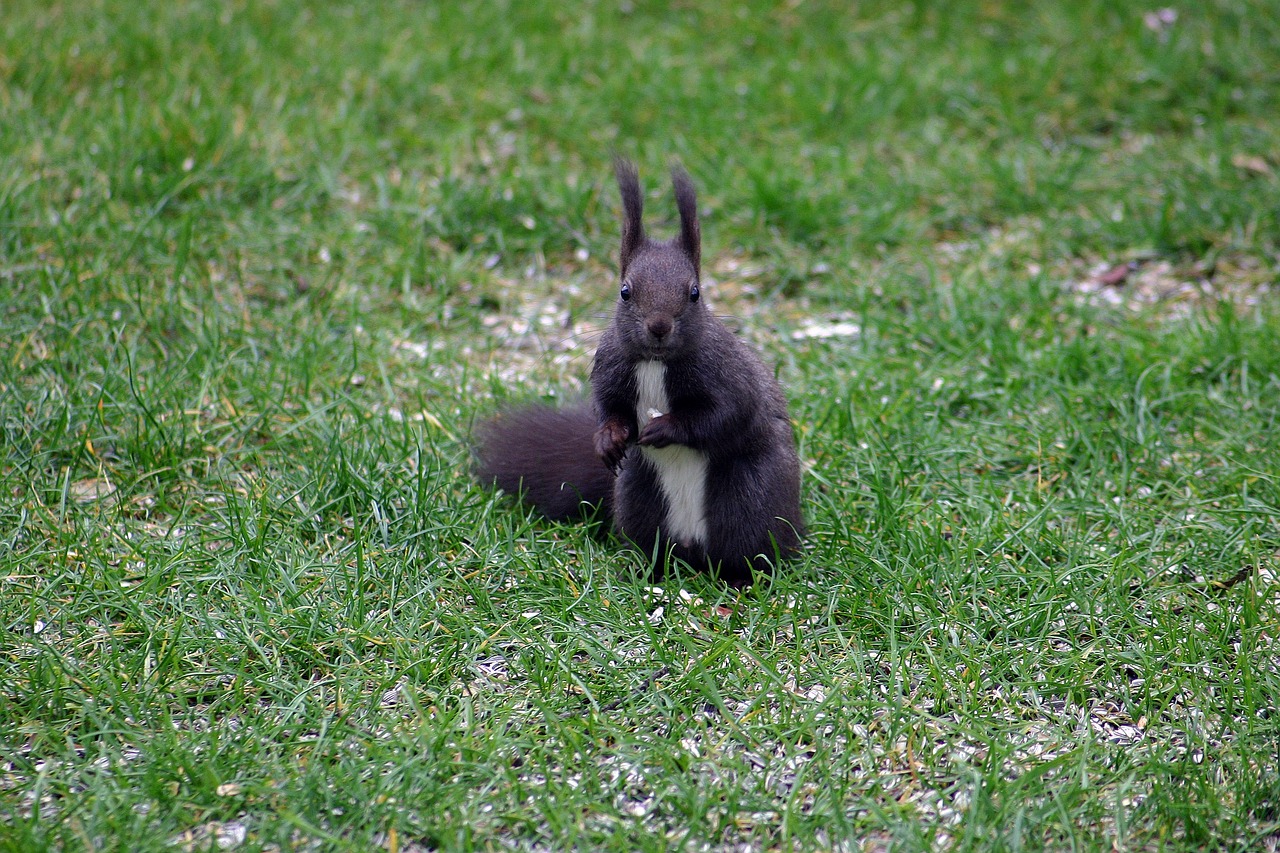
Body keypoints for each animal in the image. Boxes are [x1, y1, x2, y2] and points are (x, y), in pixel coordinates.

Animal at [476, 157, 803, 584]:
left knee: (749, 549)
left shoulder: (727, 377)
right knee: (653, 545)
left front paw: (662, 429)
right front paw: (609, 438)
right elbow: (608, 408)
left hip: (749, 501)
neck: (655, 362)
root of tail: (693, 550)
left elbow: (723, 415)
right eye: (625, 291)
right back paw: (646, 571)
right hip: (637, 499)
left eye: (695, 293)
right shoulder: (610, 370)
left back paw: (740, 579)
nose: (659, 326)